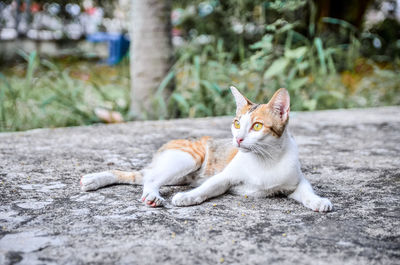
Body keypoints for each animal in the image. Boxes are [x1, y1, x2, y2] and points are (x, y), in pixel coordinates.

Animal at [79, 87, 332, 211]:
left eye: (258, 126)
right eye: (237, 123)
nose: (238, 139)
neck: (265, 159)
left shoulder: (295, 181)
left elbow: (306, 190)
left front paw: (318, 201)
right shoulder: (225, 178)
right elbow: (208, 187)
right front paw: (188, 198)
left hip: (180, 174)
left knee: (140, 176)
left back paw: (96, 179)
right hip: (187, 160)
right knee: (150, 178)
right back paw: (152, 196)